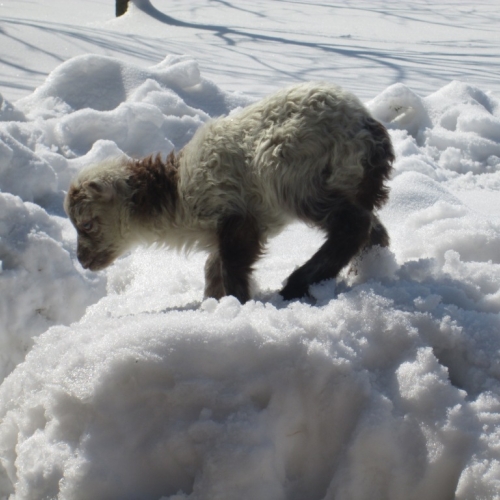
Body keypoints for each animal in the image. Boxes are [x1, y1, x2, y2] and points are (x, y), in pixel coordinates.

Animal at [64, 80, 394, 302]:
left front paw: (238, 305)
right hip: (346, 181)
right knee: (370, 224)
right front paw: (213, 305)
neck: (176, 194)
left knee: (352, 225)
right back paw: (370, 269)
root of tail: (368, 127)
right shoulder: (228, 229)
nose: (82, 260)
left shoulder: (235, 213)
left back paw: (297, 284)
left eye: (87, 225)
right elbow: (213, 268)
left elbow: (230, 268)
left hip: (289, 170)